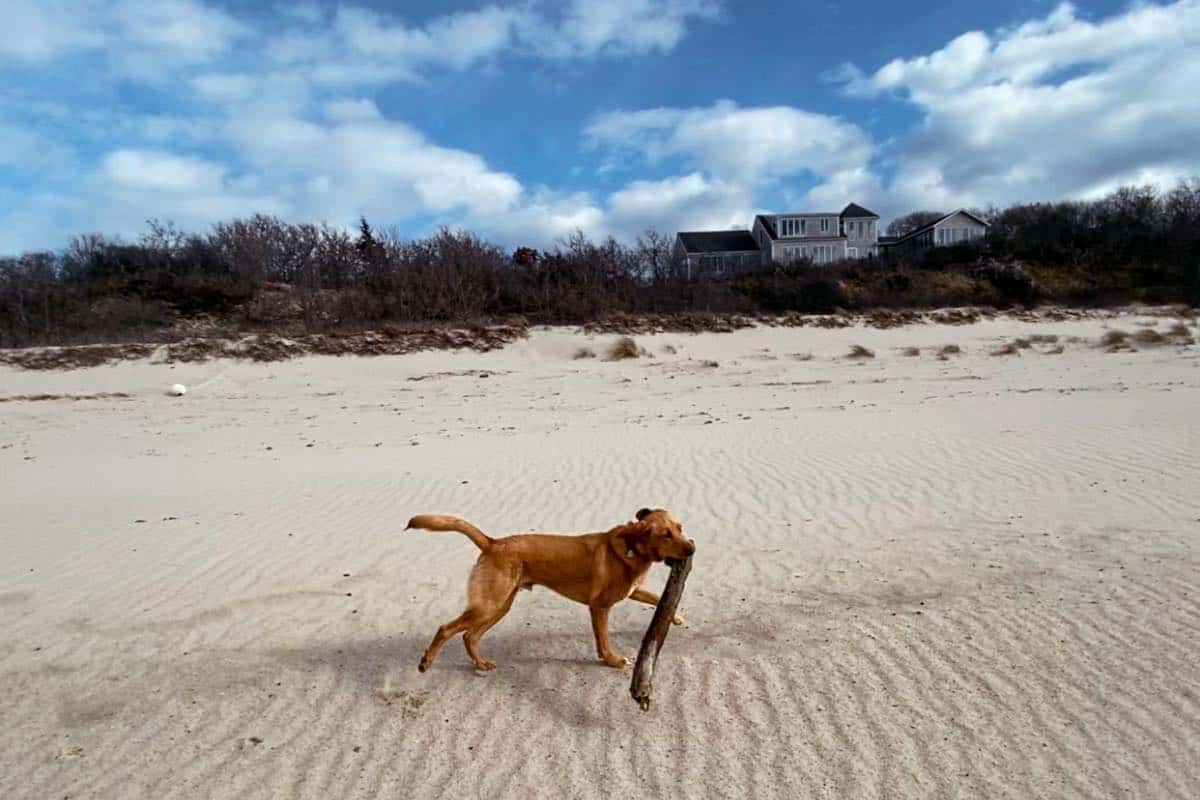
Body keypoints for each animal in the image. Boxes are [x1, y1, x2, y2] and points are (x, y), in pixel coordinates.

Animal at [410, 510, 700, 671]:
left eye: (680, 528)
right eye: (666, 535)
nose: (692, 549)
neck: (631, 547)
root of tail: (492, 543)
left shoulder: (631, 591)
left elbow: (656, 598)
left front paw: (676, 617)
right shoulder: (600, 606)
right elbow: (603, 640)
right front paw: (613, 661)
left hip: (500, 605)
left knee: (469, 636)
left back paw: (481, 664)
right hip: (488, 604)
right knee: (446, 629)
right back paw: (426, 662)